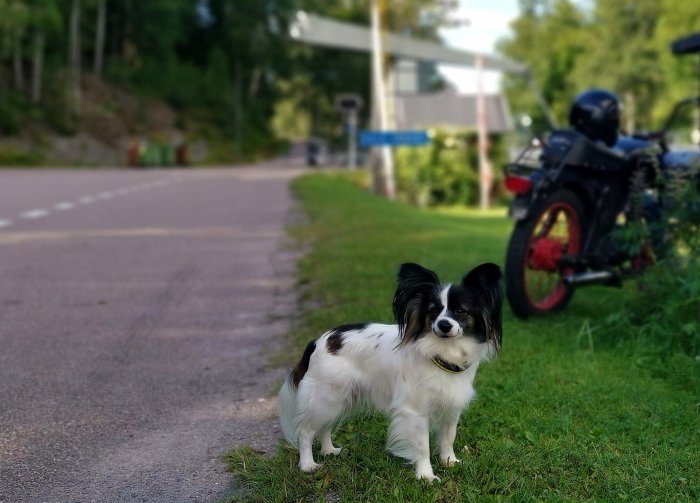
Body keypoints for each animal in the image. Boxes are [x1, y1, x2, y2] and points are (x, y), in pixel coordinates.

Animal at [276, 264, 500, 480]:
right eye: (433, 311)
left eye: (461, 311)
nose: (444, 325)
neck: (442, 352)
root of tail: (318, 341)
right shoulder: (415, 411)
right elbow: (422, 446)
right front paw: (426, 475)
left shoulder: (451, 407)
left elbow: (448, 438)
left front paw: (449, 462)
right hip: (325, 398)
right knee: (306, 431)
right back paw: (308, 464)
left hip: (337, 399)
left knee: (324, 426)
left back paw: (329, 451)